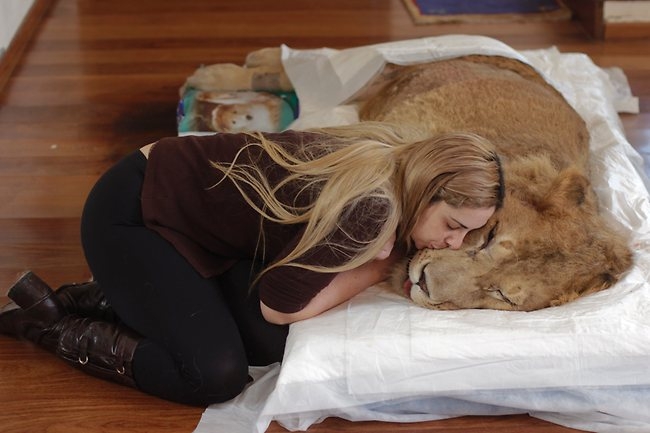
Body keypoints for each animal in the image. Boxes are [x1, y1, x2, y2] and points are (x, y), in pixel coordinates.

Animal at [182, 47, 633, 311]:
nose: (425, 285)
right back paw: (219, 72)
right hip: (389, 74)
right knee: (297, 69)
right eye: (488, 236)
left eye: (502, 294)